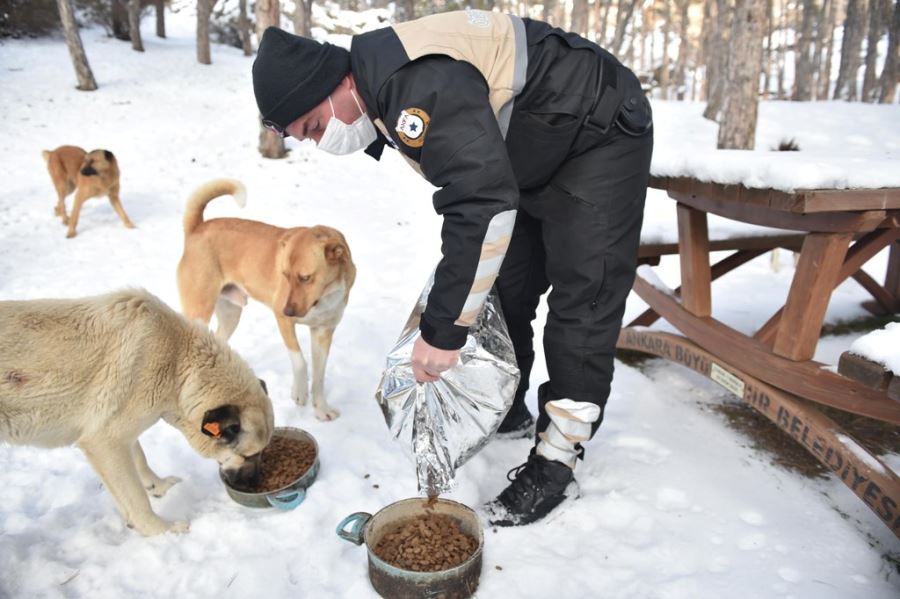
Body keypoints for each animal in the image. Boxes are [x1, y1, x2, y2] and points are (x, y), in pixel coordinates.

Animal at [0, 288, 274, 536]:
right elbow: (135, 498)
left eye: (264, 453)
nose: (255, 484)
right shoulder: (105, 443)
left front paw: (158, 486)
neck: (178, 364)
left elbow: (139, 457)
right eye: (249, 455)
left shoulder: (121, 428)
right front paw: (161, 531)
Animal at [176, 178, 356, 422]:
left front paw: (321, 410)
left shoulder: (323, 331)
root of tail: (196, 228)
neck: (323, 297)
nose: (288, 310)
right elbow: (300, 361)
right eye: (285, 275)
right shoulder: (284, 322)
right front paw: (298, 392)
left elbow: (319, 377)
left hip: (231, 313)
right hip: (199, 309)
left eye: (305, 278)